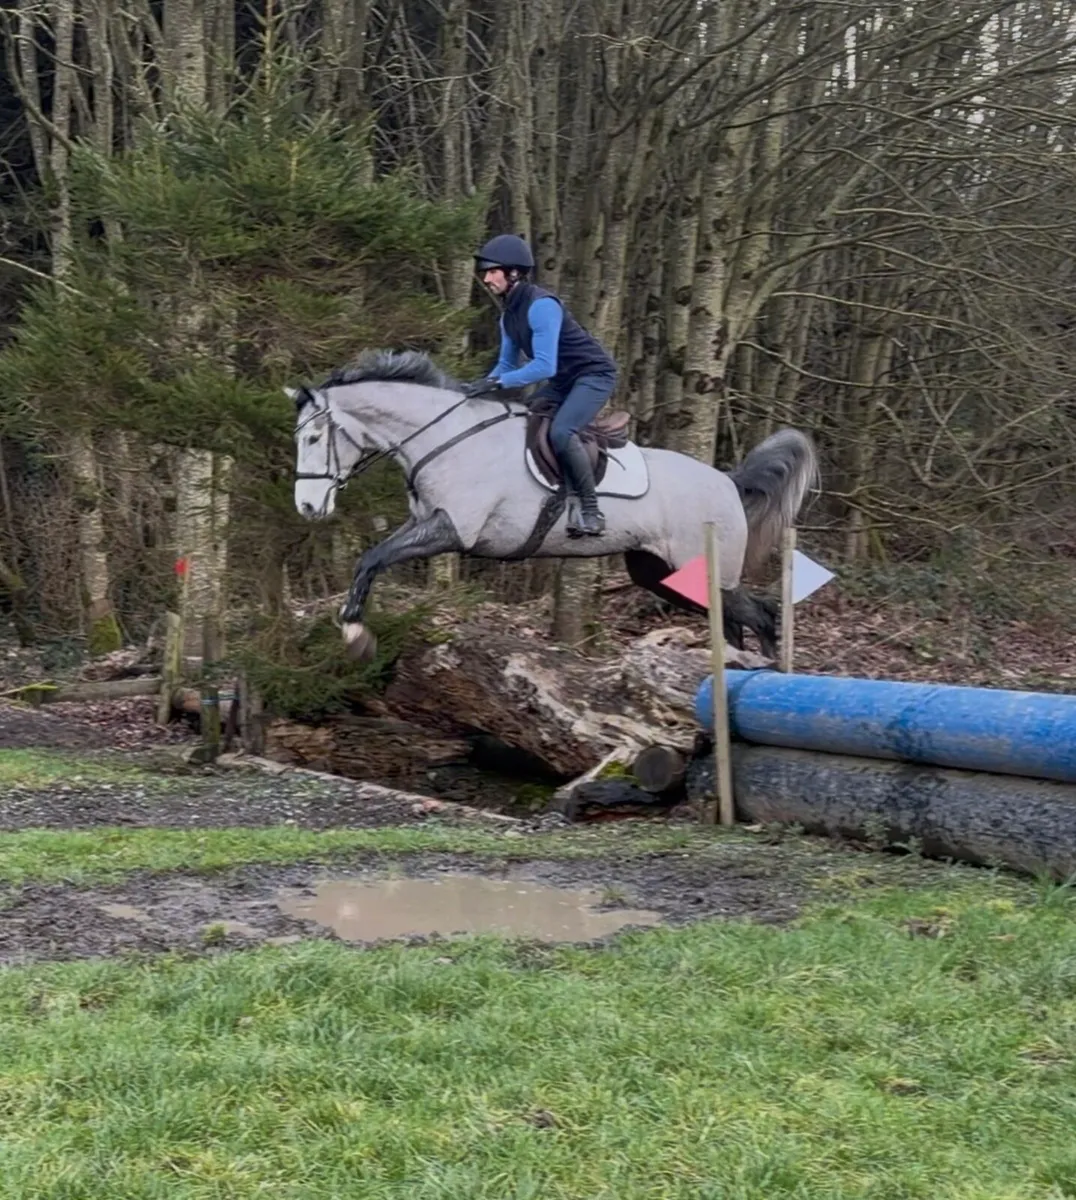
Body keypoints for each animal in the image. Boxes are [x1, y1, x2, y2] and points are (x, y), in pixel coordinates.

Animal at [289, 349, 819, 661]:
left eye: (314, 437)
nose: (309, 508)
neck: (445, 437)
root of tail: (728, 481)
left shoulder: (453, 529)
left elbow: (374, 557)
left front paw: (355, 632)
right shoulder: (426, 523)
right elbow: (371, 557)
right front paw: (353, 627)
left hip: (701, 568)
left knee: (761, 614)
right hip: (659, 573)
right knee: (730, 622)